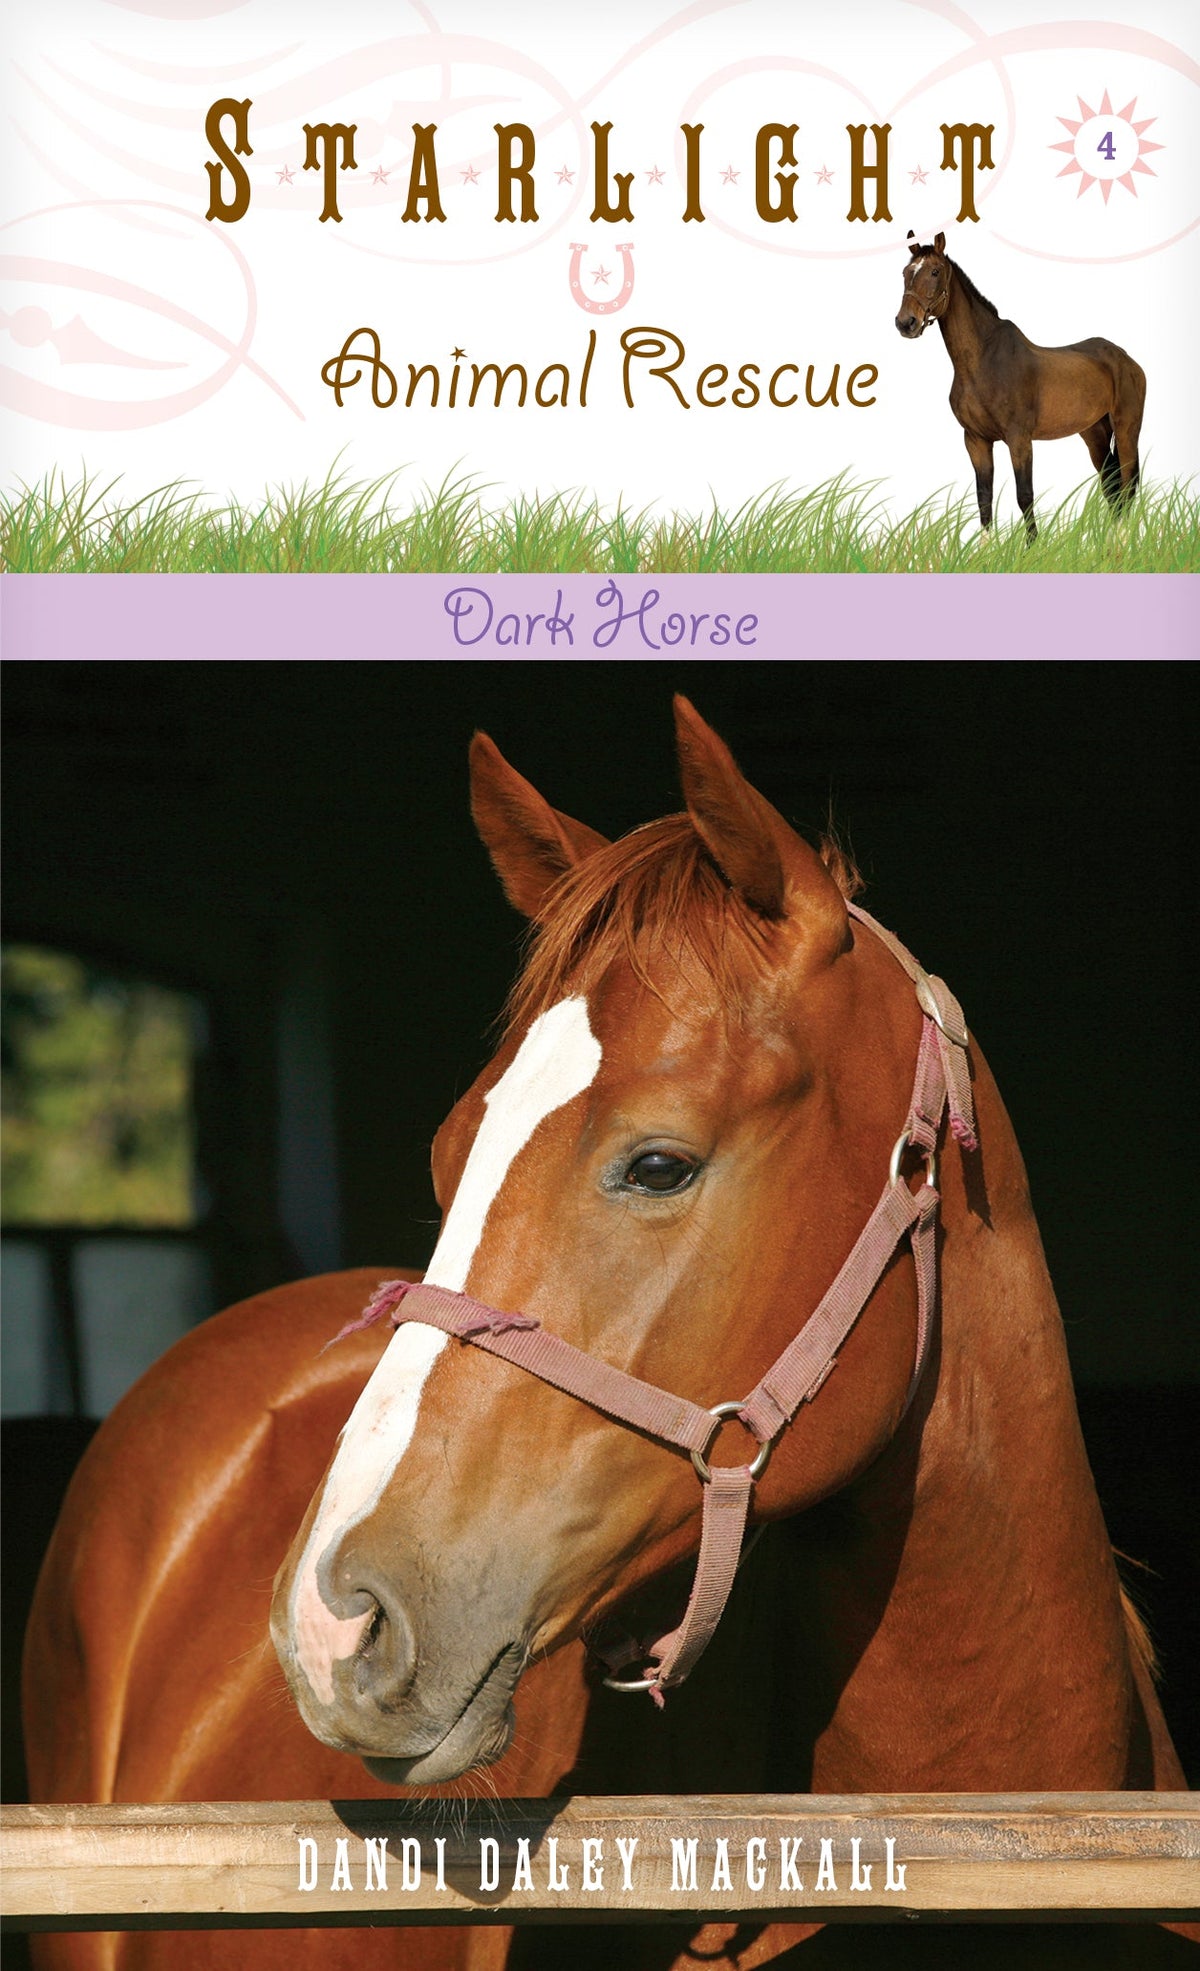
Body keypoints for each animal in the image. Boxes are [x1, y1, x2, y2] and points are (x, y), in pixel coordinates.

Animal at [895, 231, 1146, 539]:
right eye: (906, 272)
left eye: (934, 271)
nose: (906, 322)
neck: (982, 360)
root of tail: (1126, 358)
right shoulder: (975, 440)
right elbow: (984, 496)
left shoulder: (1019, 439)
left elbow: (1024, 495)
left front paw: (1033, 547)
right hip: (1094, 432)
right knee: (1111, 485)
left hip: (1126, 428)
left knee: (1127, 482)